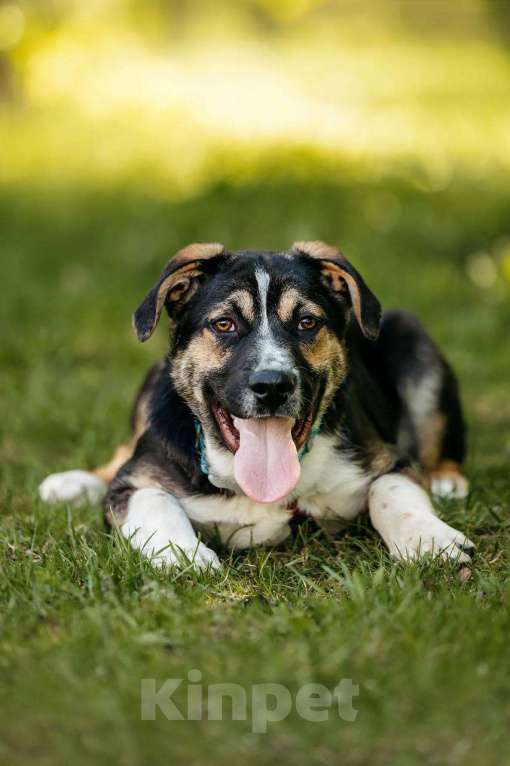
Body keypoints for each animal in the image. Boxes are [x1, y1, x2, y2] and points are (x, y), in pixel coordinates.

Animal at [40, 240, 474, 568]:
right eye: (224, 324)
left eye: (307, 323)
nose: (272, 386)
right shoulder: (134, 481)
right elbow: (154, 500)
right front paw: (182, 555)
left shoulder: (388, 459)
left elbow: (392, 493)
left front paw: (429, 539)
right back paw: (73, 482)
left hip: (416, 346)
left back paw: (446, 479)